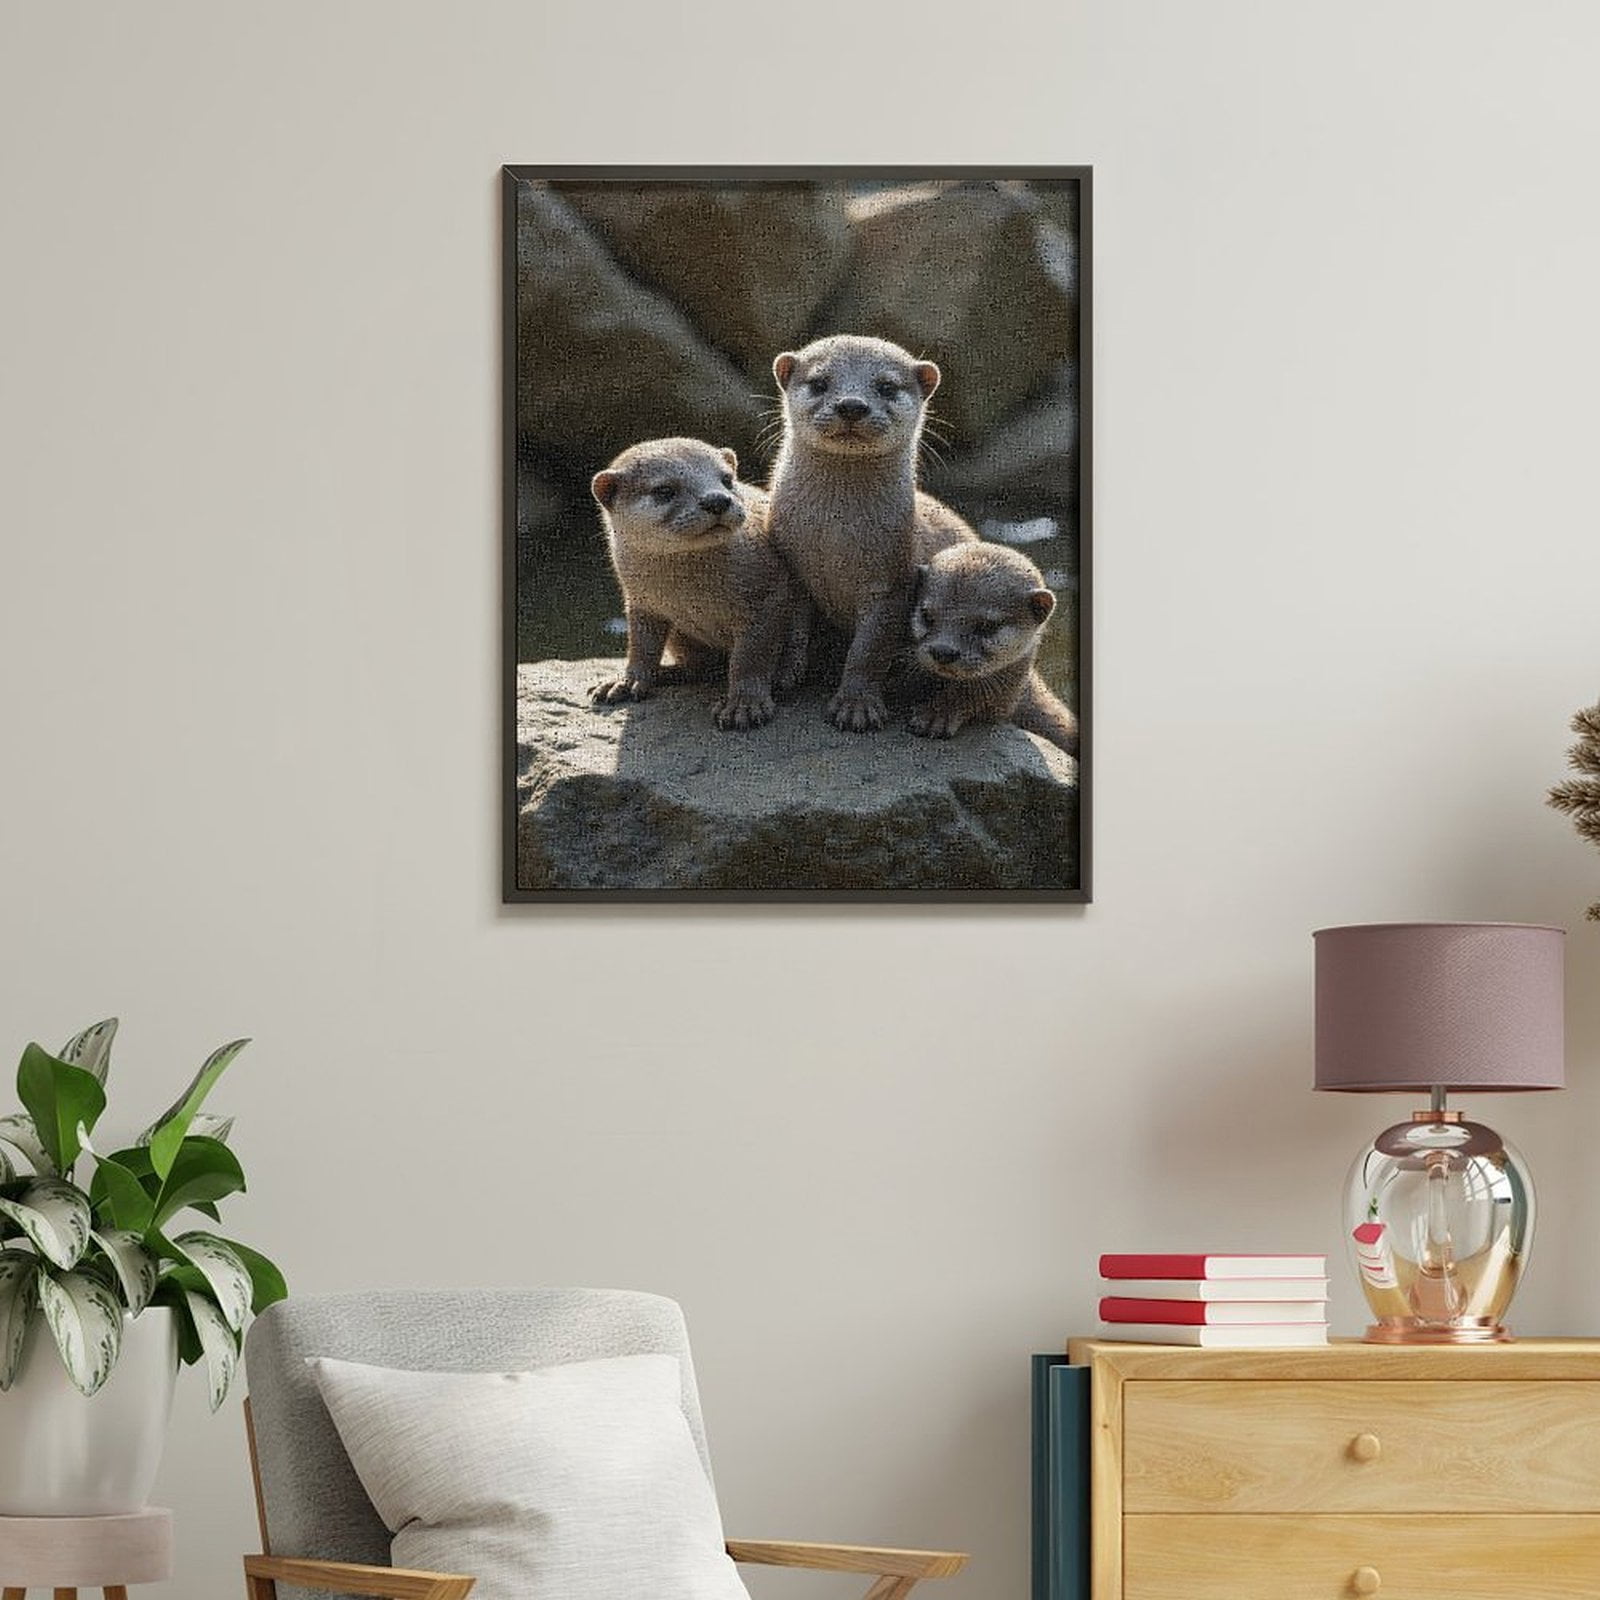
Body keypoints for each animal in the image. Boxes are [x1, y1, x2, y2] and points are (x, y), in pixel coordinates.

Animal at [590, 437, 804, 731]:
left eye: (727, 479)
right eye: (664, 490)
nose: (717, 499)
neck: (689, 593)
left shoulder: (768, 593)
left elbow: (751, 655)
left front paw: (744, 704)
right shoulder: (640, 602)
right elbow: (641, 646)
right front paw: (627, 681)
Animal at [767, 334, 943, 733]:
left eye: (887, 387)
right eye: (819, 383)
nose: (851, 405)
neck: (835, 534)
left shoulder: (892, 580)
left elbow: (870, 649)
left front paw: (856, 704)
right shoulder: (791, 567)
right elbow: (791, 630)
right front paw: (783, 675)